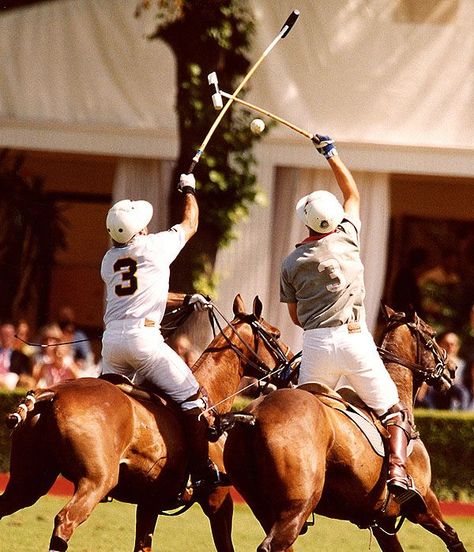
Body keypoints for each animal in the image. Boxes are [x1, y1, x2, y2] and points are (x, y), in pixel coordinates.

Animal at [0, 298, 290, 552]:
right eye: (275, 335)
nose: (293, 367)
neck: (212, 399)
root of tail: (52, 392)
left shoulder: (150, 502)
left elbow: (143, 544)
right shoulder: (218, 499)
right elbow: (225, 545)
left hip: (29, 480)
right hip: (96, 480)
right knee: (65, 521)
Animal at [224, 308, 468, 548]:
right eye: (433, 335)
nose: (453, 369)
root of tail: (254, 415)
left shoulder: (384, 522)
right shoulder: (425, 505)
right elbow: (453, 537)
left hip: (263, 508)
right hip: (297, 507)